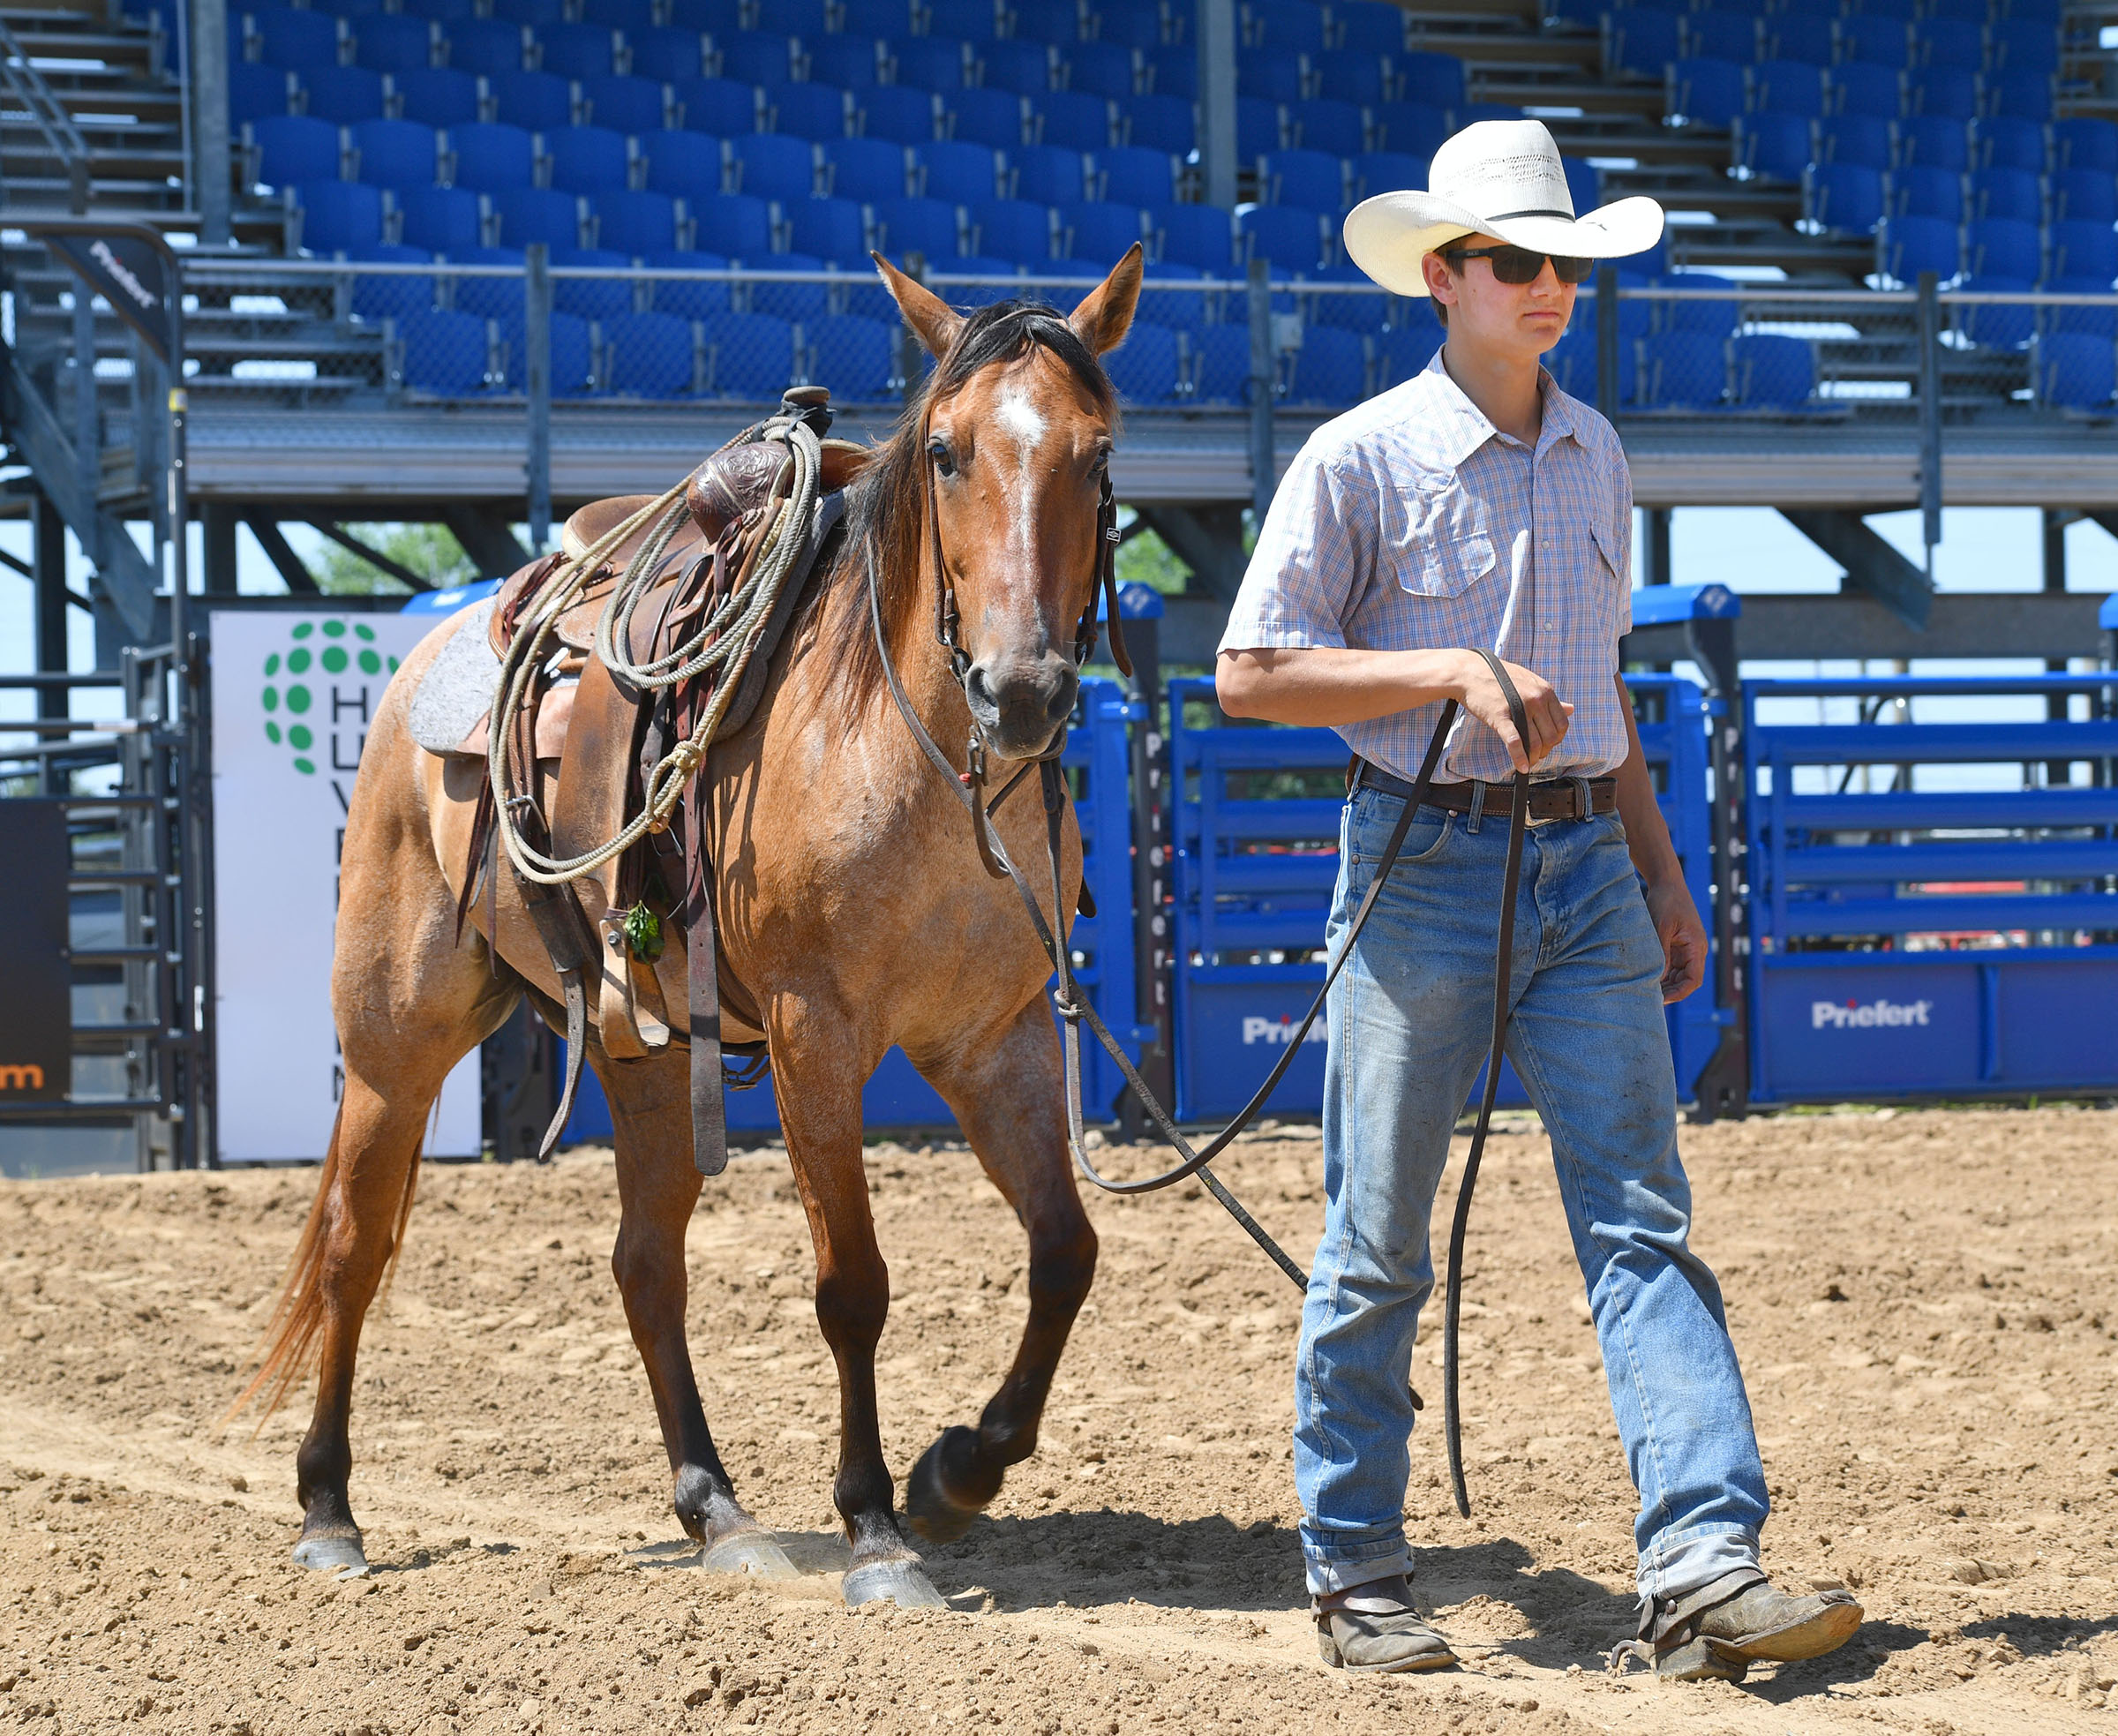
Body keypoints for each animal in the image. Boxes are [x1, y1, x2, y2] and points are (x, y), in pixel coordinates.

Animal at [236, 251, 1144, 1609]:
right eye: (945, 451)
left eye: (1096, 454)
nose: (1021, 689)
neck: (908, 755)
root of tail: (429, 660)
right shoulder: (821, 1036)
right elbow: (852, 1283)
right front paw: (876, 1527)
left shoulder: (998, 1035)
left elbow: (1065, 1251)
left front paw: (957, 1472)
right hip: (395, 1036)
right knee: (353, 1241)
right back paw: (329, 1508)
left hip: (645, 1053)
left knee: (644, 1263)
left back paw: (718, 1509)